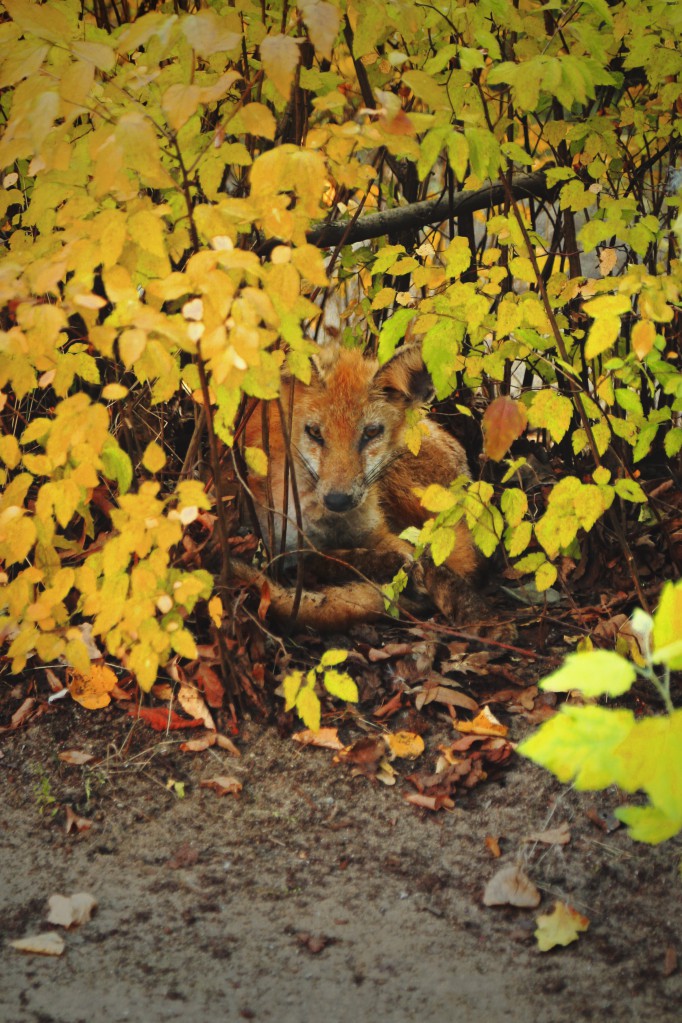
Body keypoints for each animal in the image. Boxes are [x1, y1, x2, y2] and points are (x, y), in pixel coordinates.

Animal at [235, 343, 490, 630]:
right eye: (315, 432)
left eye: (371, 433)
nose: (337, 500)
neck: (332, 524)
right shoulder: (281, 540)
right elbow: (336, 558)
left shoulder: (376, 531)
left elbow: (420, 560)